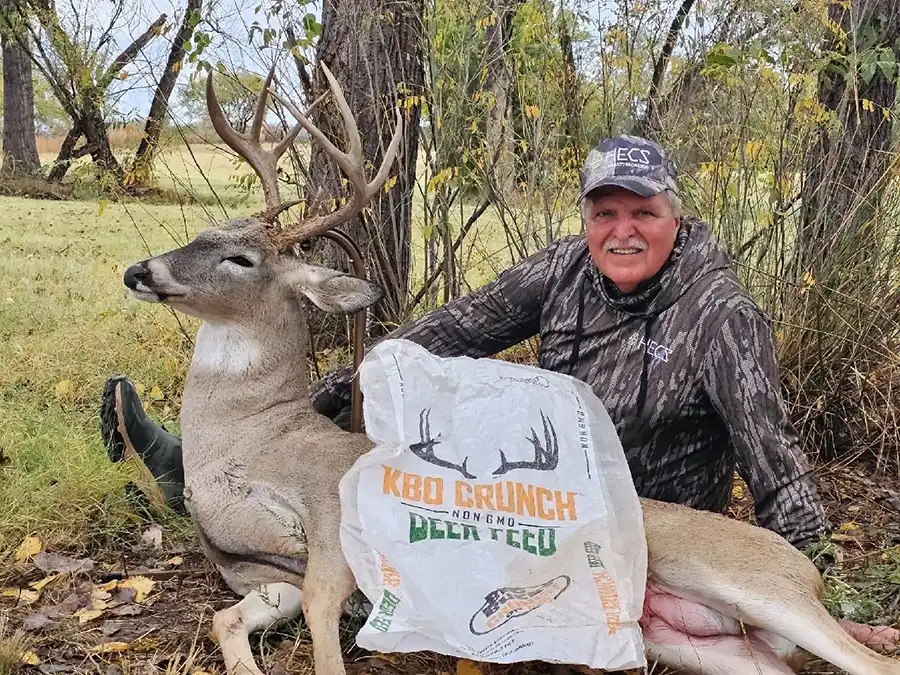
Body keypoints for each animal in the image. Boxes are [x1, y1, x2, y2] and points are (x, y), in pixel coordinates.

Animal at [121, 60, 900, 675]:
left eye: (240, 258)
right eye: (200, 233)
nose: (140, 269)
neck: (248, 441)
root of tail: (808, 574)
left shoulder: (331, 518)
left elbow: (321, 625)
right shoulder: (261, 573)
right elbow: (227, 620)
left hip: (755, 583)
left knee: (868, 658)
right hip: (705, 644)